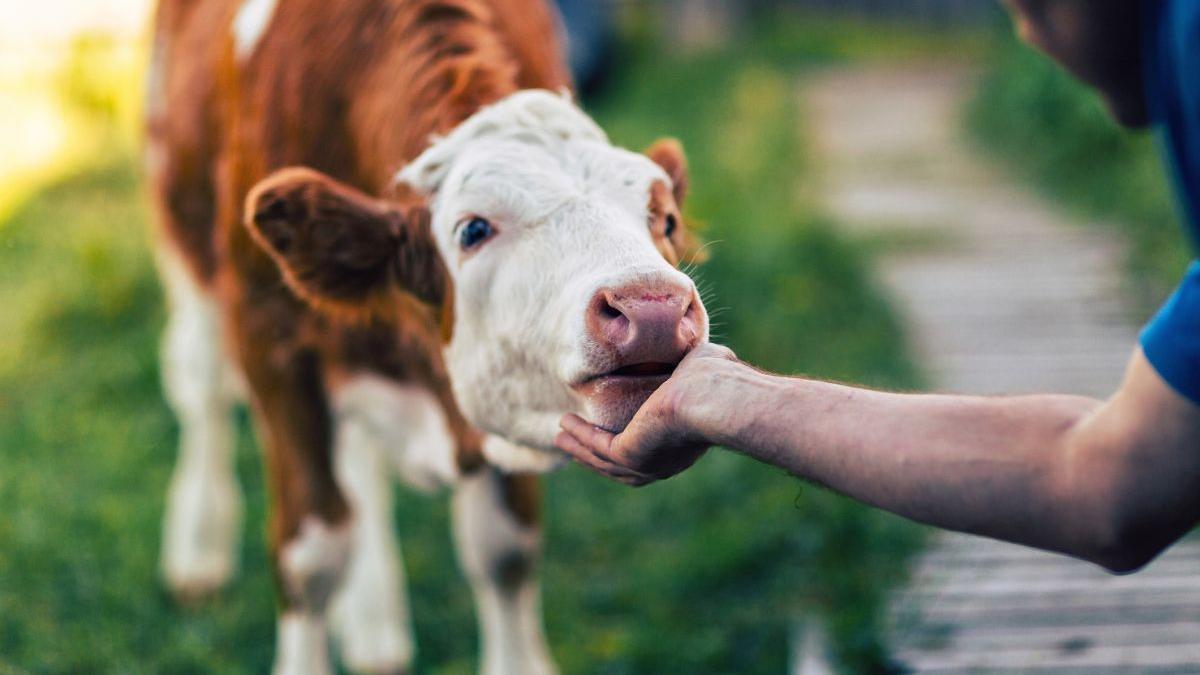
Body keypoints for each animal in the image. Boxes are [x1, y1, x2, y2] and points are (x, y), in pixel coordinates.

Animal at [144, 0, 708, 673]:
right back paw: (200, 547)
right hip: (184, 228)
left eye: (666, 219)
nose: (652, 308)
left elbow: (504, 550)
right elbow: (312, 557)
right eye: (472, 230)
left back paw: (373, 623)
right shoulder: (270, 335)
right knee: (203, 388)